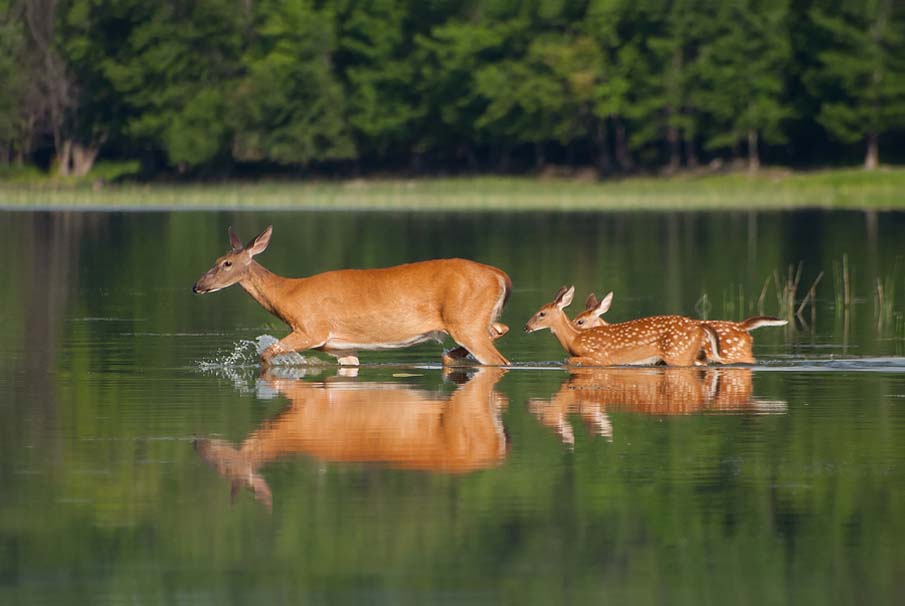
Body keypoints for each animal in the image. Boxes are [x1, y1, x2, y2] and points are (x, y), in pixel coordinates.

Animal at [192, 227, 512, 366]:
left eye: (226, 263)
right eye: (217, 259)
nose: (197, 286)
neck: (287, 294)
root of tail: (499, 275)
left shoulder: (311, 329)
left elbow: (266, 353)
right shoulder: (342, 348)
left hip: (466, 322)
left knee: (499, 360)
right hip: (476, 318)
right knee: (500, 328)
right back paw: (452, 356)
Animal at [524, 288, 720, 368]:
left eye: (541, 313)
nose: (526, 326)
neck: (574, 339)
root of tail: (699, 325)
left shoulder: (601, 357)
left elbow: (568, 361)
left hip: (678, 354)